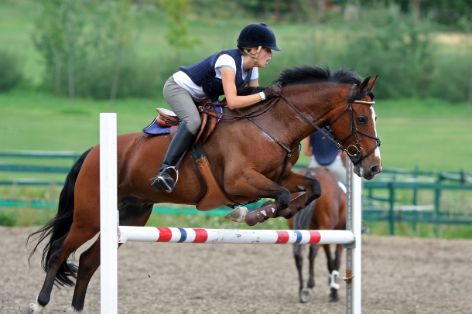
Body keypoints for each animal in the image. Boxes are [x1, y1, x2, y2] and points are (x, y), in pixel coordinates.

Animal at [288, 168, 346, 302]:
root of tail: (311, 173)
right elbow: (336, 261)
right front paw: (334, 292)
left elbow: (330, 261)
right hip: (324, 228)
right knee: (312, 251)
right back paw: (310, 285)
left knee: (298, 254)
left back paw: (301, 290)